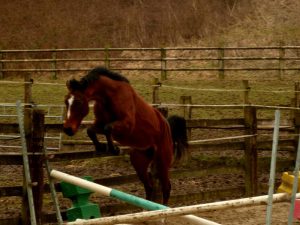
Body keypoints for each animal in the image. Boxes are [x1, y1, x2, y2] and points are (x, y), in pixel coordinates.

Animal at [63, 66, 188, 204]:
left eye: (79, 102)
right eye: (66, 102)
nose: (68, 129)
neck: (109, 97)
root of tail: (166, 125)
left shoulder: (127, 126)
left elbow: (107, 128)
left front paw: (113, 148)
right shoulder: (100, 123)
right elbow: (91, 130)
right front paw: (102, 147)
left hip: (162, 160)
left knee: (166, 187)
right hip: (139, 161)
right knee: (149, 186)